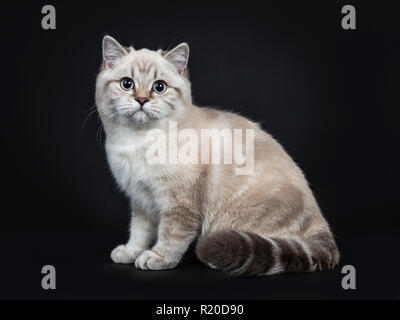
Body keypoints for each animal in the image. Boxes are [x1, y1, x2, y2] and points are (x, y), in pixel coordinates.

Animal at [95, 35, 340, 276]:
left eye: (159, 87)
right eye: (127, 84)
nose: (142, 100)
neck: (138, 140)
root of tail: (322, 229)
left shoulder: (178, 205)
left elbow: (171, 236)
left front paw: (157, 258)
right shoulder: (140, 199)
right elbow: (139, 231)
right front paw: (130, 252)